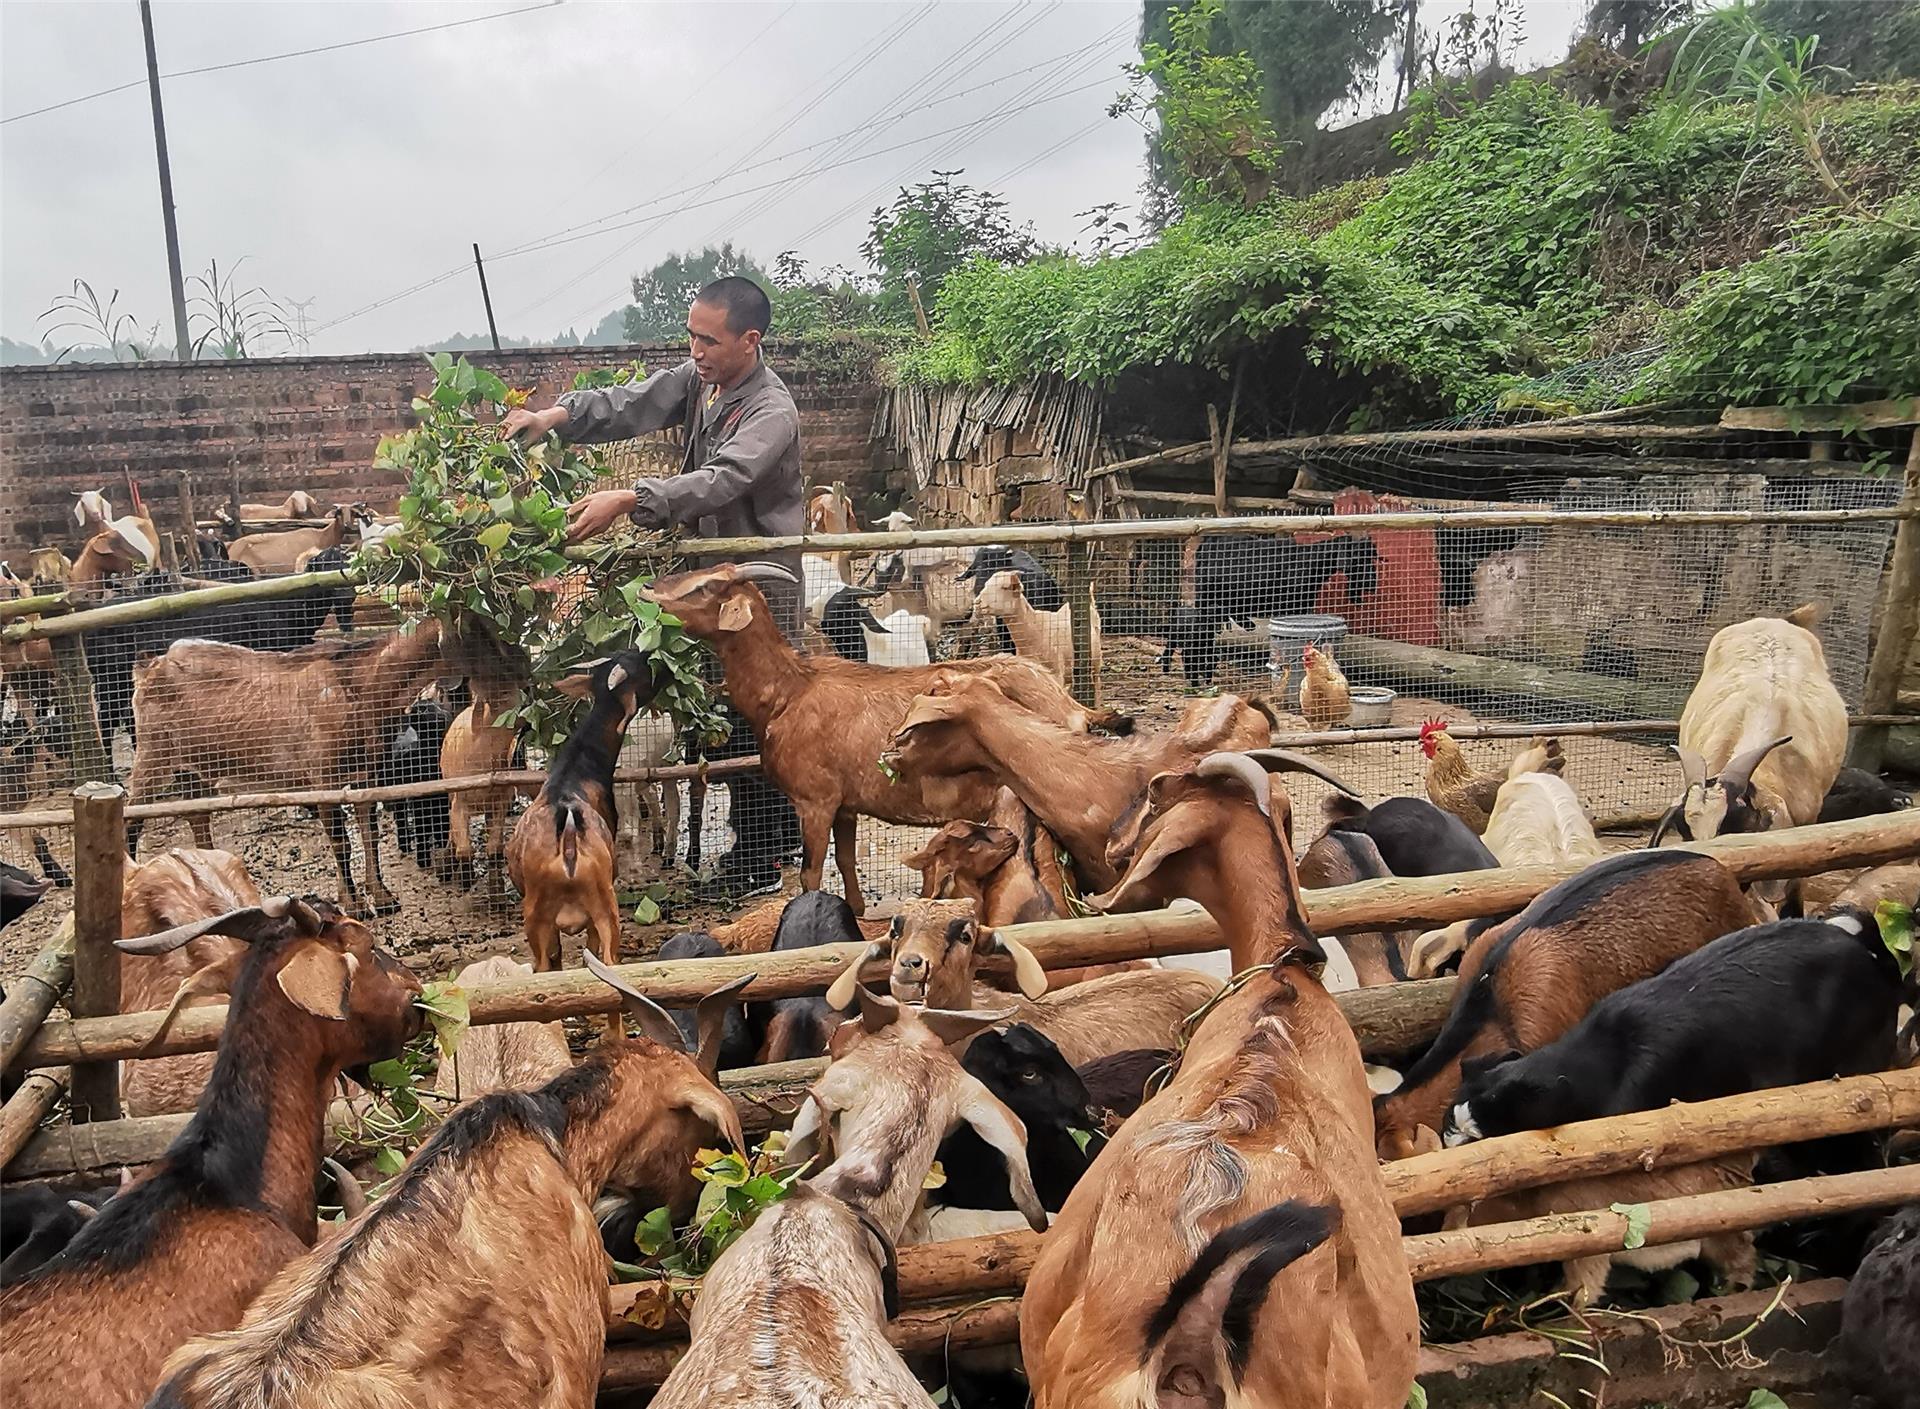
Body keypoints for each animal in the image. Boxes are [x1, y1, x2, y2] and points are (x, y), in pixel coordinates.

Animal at [123, 621, 445, 921]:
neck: (361, 685)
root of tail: (148, 667)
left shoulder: (366, 775)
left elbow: (370, 834)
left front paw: (383, 898)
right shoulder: (324, 779)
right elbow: (341, 843)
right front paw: (356, 907)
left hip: (196, 767)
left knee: (198, 818)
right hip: (153, 754)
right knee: (132, 817)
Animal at [641, 564, 1105, 917]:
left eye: (705, 586)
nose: (647, 588)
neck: (789, 692)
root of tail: (1072, 708)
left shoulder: (815, 801)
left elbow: (810, 874)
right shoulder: (846, 805)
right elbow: (846, 861)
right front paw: (857, 911)